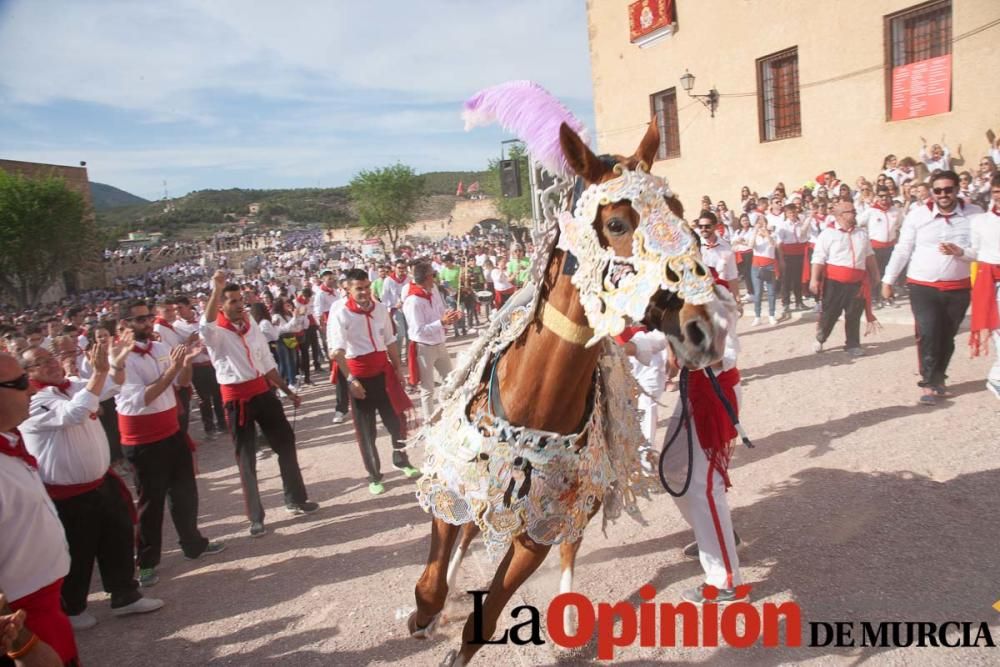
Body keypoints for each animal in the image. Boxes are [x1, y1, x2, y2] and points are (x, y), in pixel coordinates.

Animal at [406, 120, 728, 667]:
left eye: (681, 211)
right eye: (617, 223)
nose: (702, 329)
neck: (534, 406)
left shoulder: (540, 529)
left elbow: (487, 618)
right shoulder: (459, 480)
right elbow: (432, 579)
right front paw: (423, 617)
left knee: (569, 544)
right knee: (467, 533)